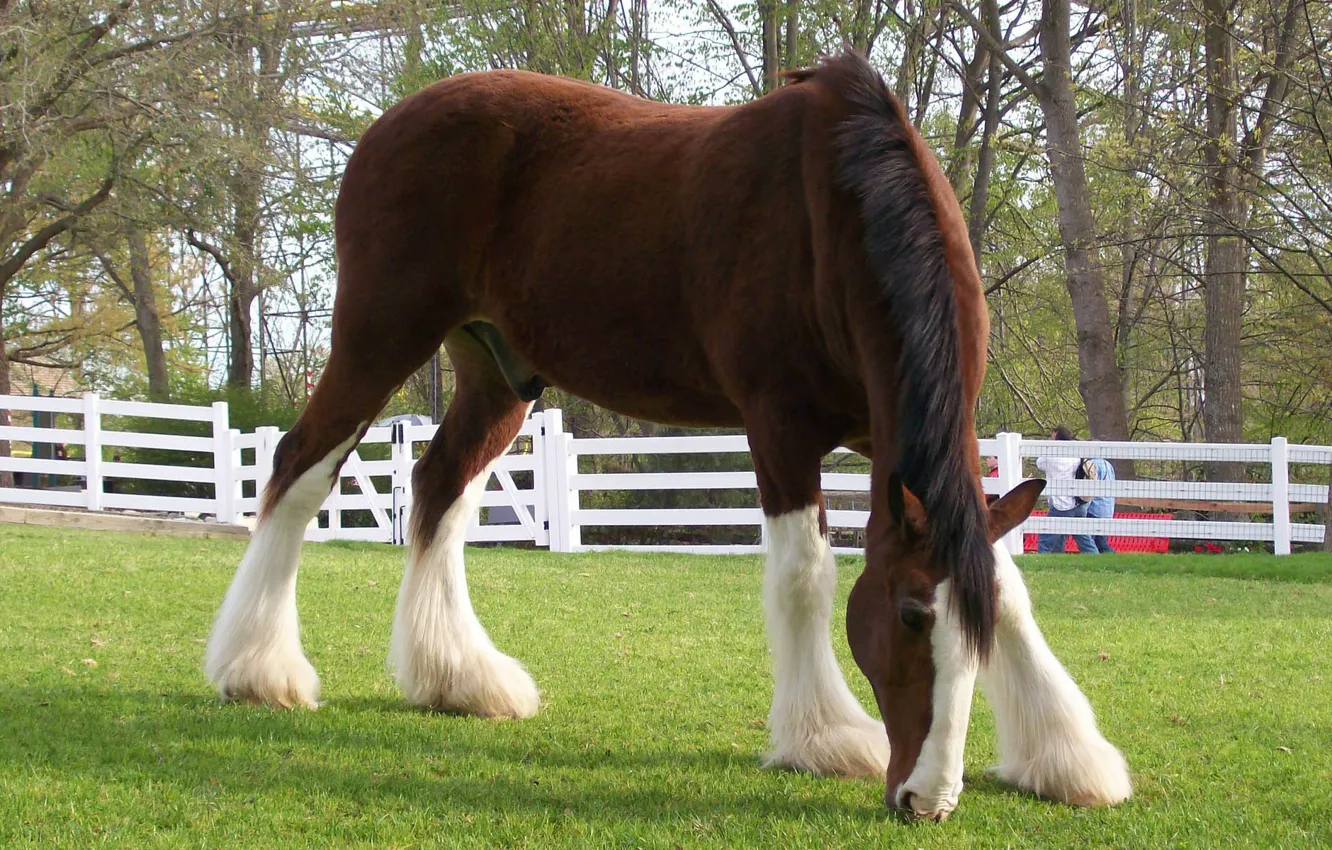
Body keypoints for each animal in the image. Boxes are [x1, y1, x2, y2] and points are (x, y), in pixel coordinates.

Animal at [202, 49, 1129, 820]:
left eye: (970, 636)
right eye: (905, 617)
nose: (925, 800)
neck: (838, 213)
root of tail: (392, 121)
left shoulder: (899, 442)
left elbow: (1006, 583)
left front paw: (1067, 758)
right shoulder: (780, 425)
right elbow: (804, 575)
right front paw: (825, 738)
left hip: (497, 371)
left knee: (439, 489)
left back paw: (459, 680)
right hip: (379, 333)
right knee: (300, 469)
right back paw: (258, 669)